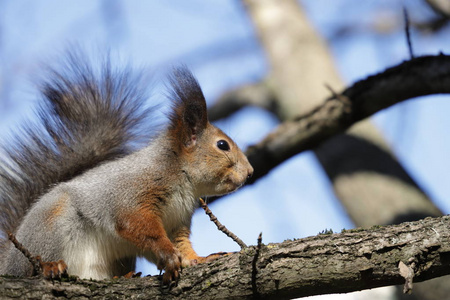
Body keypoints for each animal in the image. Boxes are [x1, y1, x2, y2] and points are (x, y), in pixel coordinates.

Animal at [0, 52, 253, 284]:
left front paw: (198, 259)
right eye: (222, 145)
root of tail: (9, 261)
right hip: (50, 226)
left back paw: (126, 275)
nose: (250, 172)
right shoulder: (133, 194)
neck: (181, 177)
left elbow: (181, 245)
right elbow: (138, 226)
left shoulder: (176, 222)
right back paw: (49, 266)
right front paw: (169, 256)